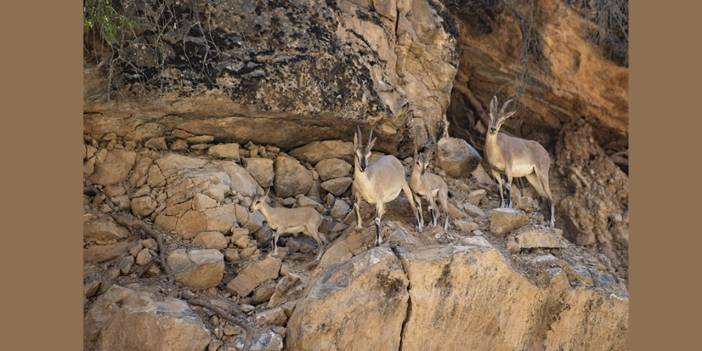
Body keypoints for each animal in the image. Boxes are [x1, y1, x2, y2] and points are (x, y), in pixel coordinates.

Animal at [484, 96, 556, 228]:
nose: (493, 129)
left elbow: (508, 188)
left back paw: (551, 223)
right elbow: (499, 188)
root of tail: (545, 153)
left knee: (551, 197)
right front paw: (500, 207)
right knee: (544, 196)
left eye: (502, 120)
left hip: (542, 174)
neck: (497, 149)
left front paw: (508, 209)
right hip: (532, 176)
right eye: (490, 115)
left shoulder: (509, 170)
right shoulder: (494, 171)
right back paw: (547, 221)